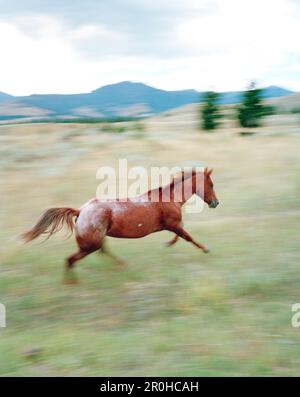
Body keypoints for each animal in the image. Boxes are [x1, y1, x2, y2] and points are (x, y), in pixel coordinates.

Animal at [21, 167, 218, 282]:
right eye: (211, 184)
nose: (216, 203)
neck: (171, 197)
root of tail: (80, 211)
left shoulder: (172, 225)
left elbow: (180, 236)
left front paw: (168, 244)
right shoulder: (173, 223)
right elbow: (188, 237)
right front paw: (206, 249)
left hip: (97, 240)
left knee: (102, 251)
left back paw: (122, 265)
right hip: (89, 245)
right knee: (71, 260)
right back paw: (72, 283)